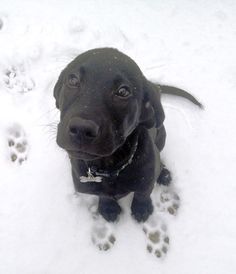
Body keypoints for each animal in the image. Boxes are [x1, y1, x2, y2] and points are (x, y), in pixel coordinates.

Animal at [53, 47, 201, 223]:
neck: (109, 170)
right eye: (73, 80)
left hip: (162, 136)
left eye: (123, 91)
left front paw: (141, 208)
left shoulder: (146, 181)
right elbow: (103, 195)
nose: (81, 129)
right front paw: (108, 207)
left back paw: (163, 173)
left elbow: (142, 193)